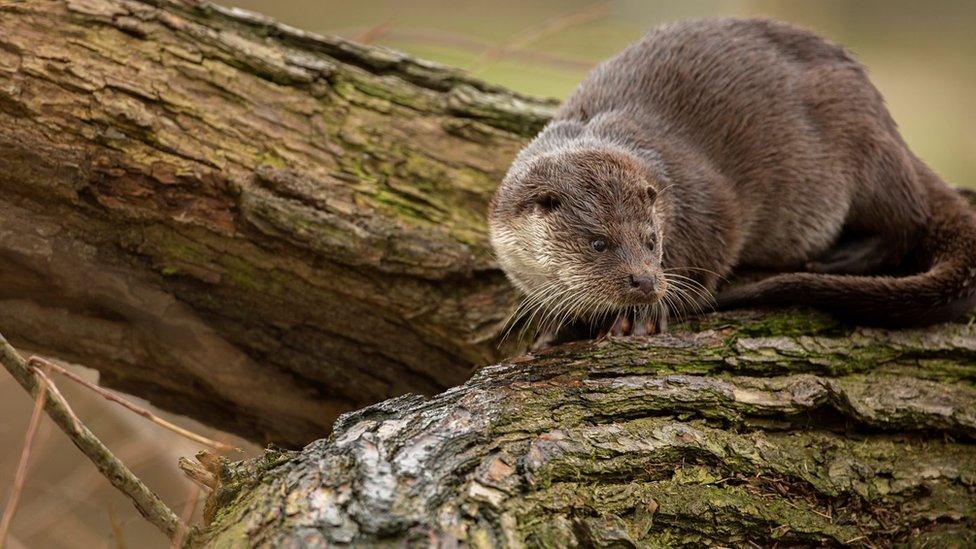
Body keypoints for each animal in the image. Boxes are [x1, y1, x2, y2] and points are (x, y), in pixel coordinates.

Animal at [492, 17, 976, 338]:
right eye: (598, 243)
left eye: (652, 240)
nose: (644, 281)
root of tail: (887, 121)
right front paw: (554, 327)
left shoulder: (704, 199)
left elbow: (713, 249)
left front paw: (647, 313)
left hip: (863, 150)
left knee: (908, 216)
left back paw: (838, 258)